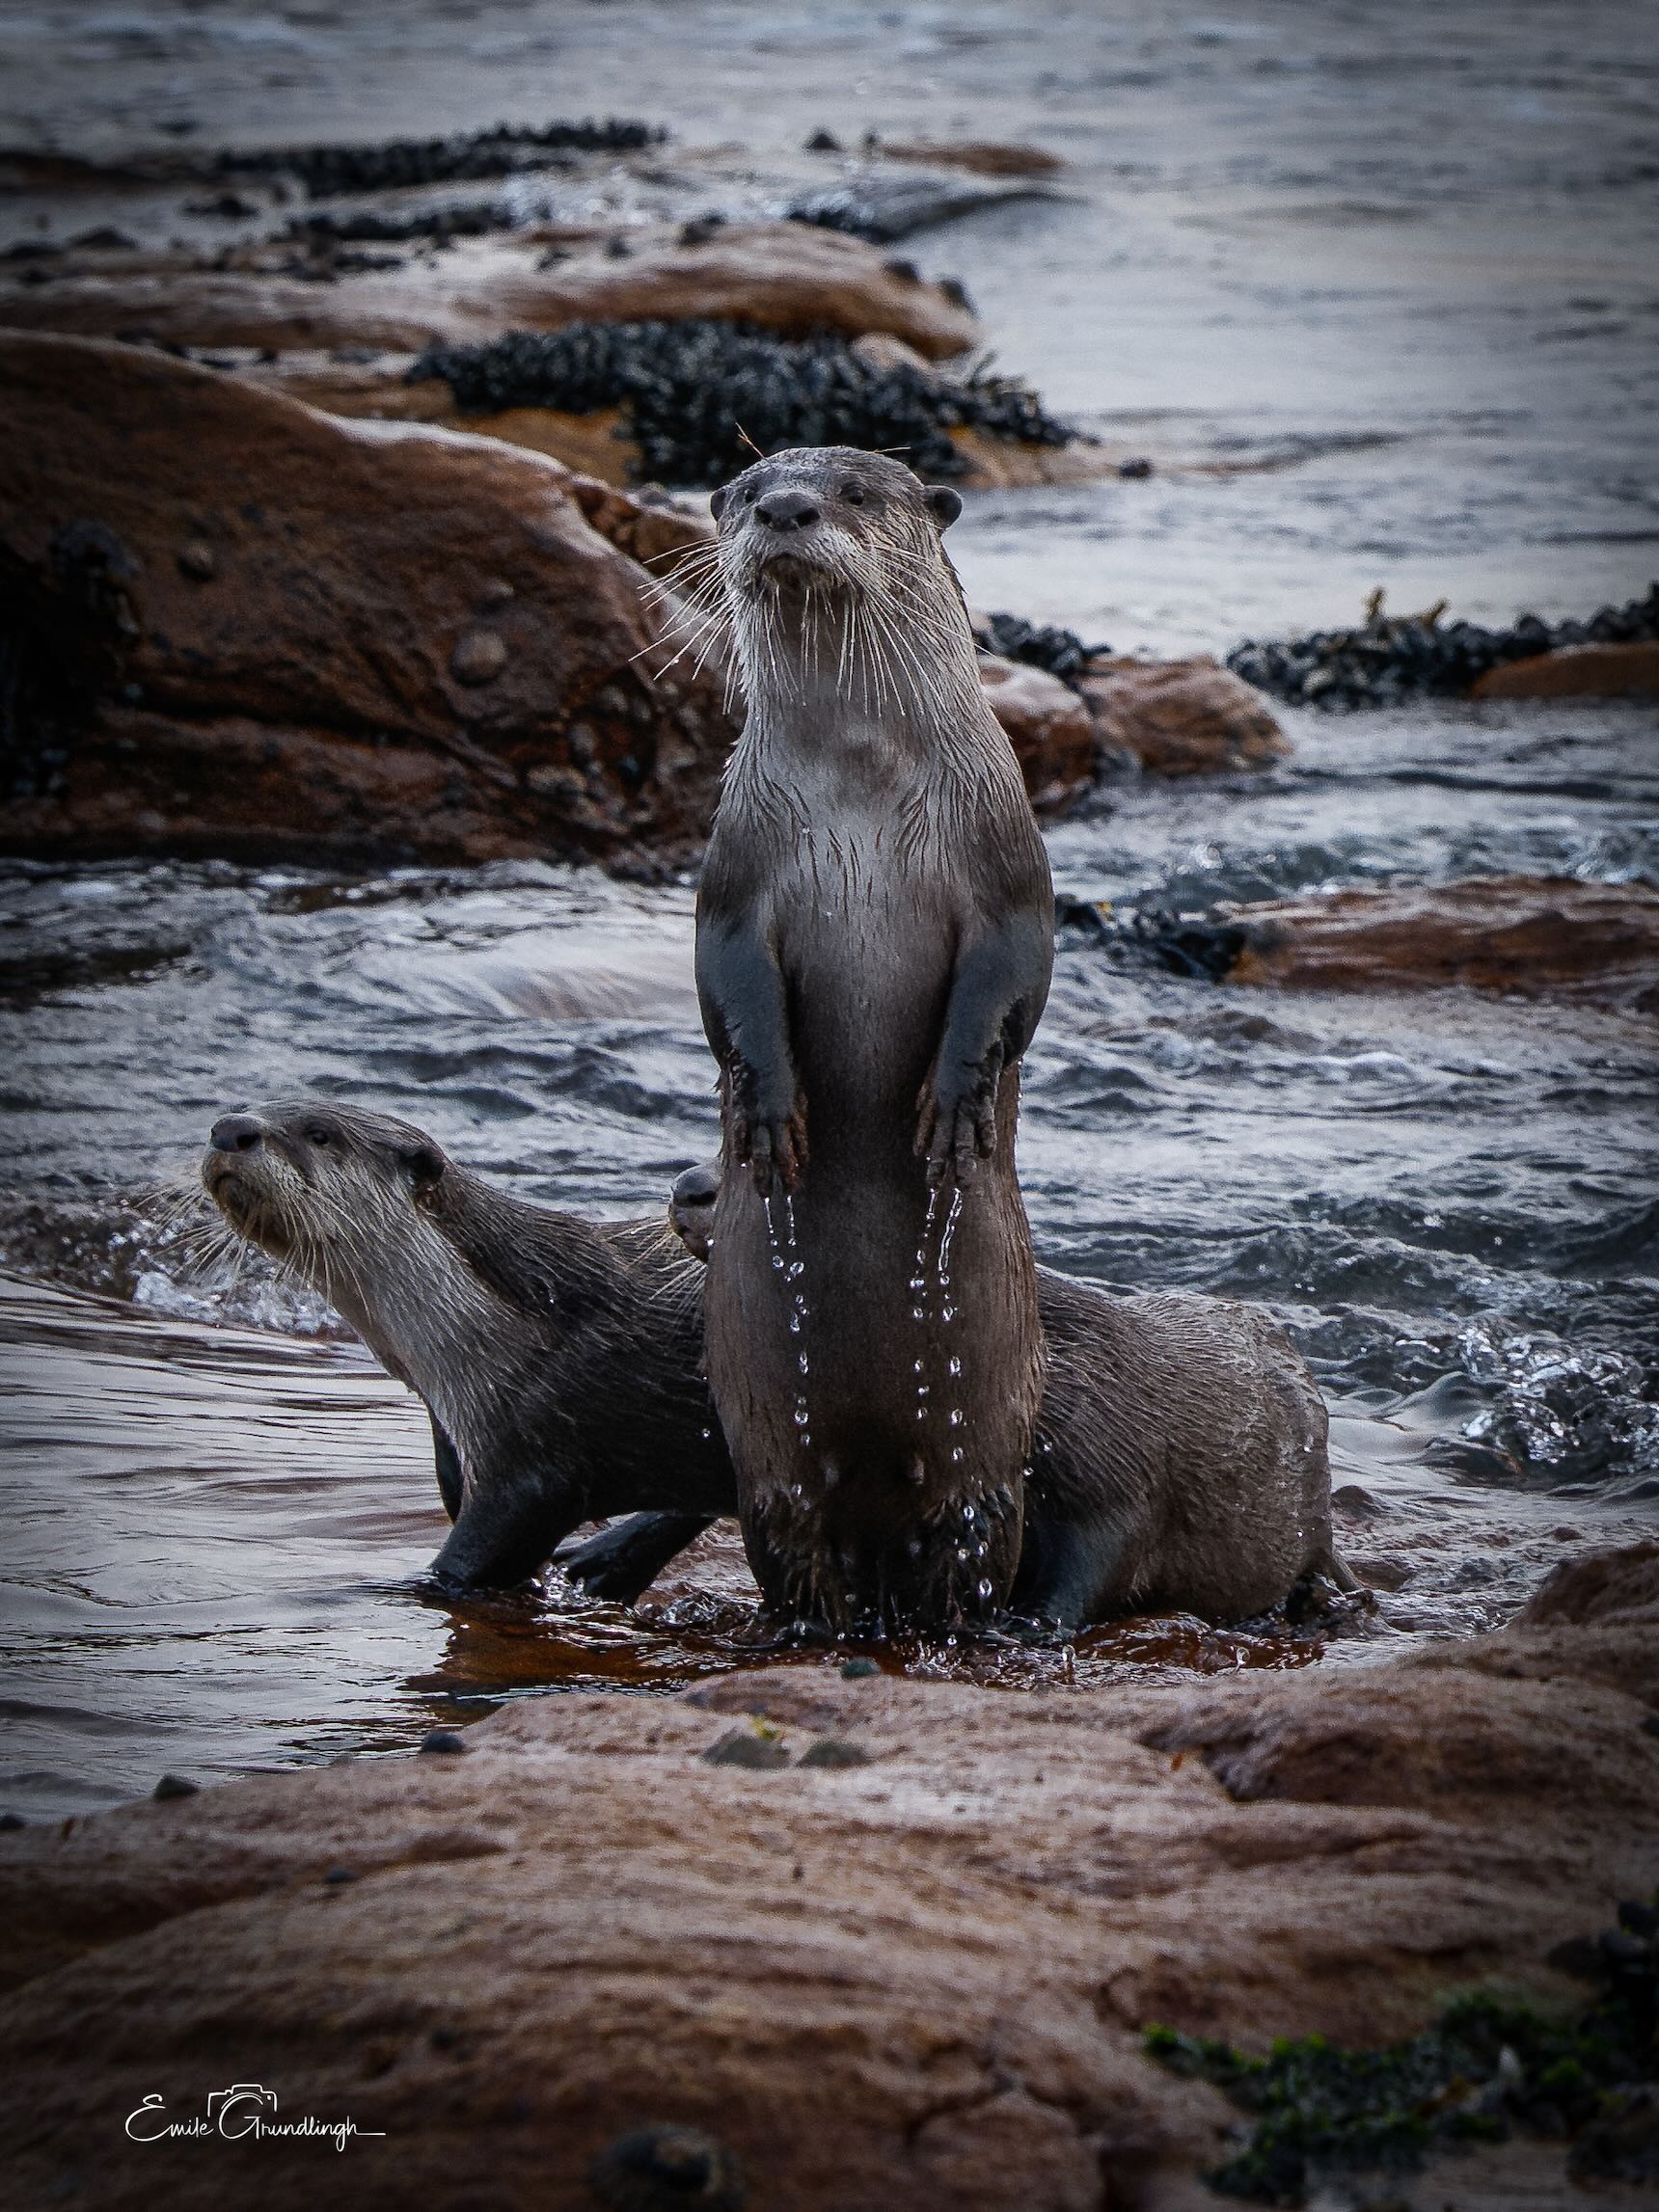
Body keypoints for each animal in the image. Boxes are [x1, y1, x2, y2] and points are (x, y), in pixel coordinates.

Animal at [688, 446, 1055, 1633]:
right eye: (747, 487)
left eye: (853, 490)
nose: (787, 509)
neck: (856, 787)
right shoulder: (733, 870)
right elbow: (728, 986)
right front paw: (769, 1113)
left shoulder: (1007, 862)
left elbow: (1012, 977)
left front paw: (954, 1105)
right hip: (767, 1443)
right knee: (794, 1537)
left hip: (988, 1438)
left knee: (973, 1530)